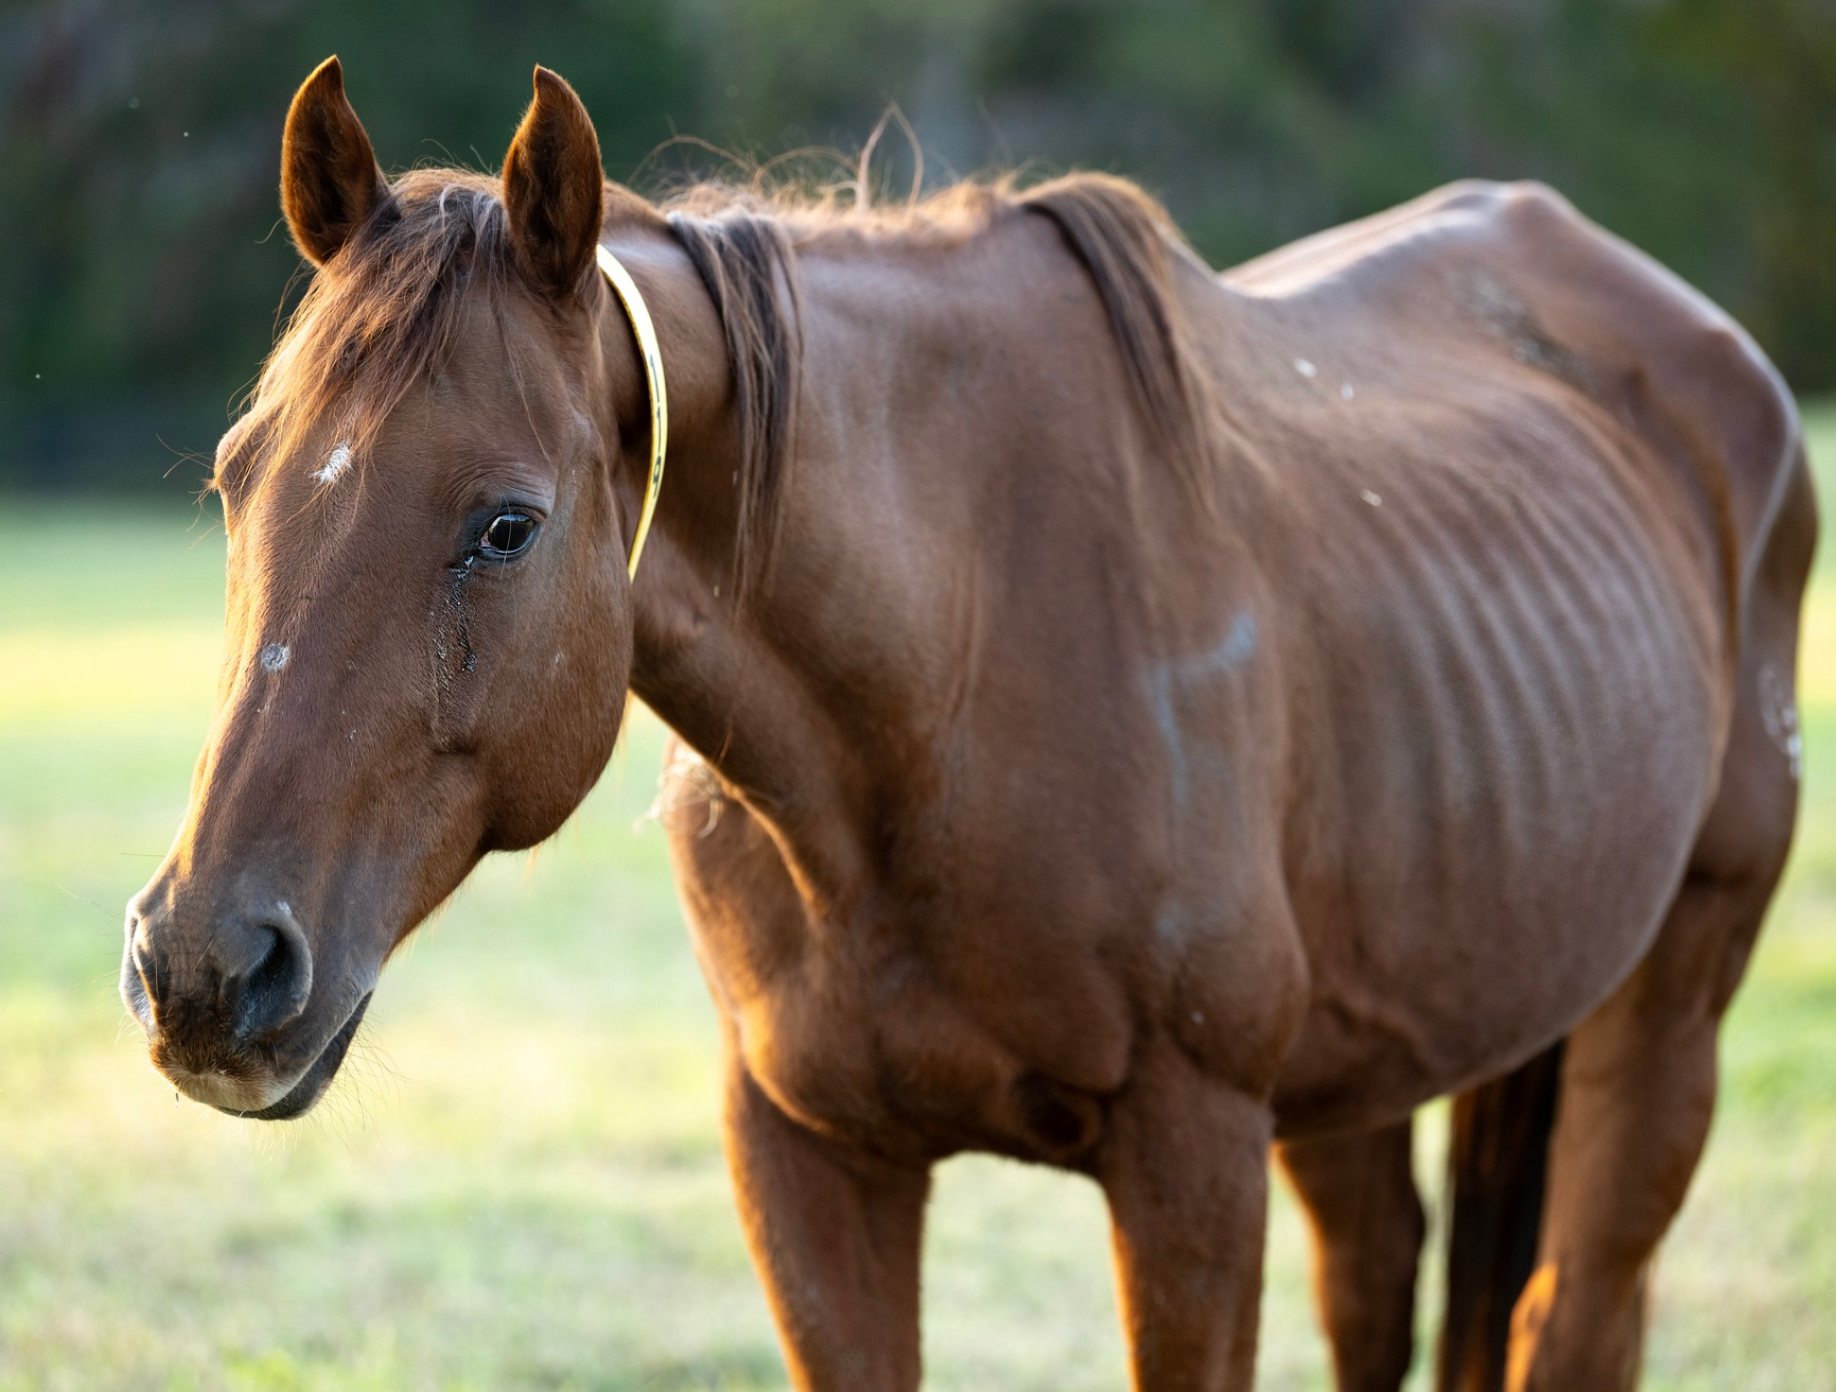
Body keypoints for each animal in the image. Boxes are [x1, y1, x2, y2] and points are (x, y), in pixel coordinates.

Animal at [120, 57, 1816, 1392]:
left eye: (506, 526)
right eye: (234, 475)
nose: (204, 968)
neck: (943, 691)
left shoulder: (1190, 1163)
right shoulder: (810, 1162)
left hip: (1669, 1010)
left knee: (1574, 1315)